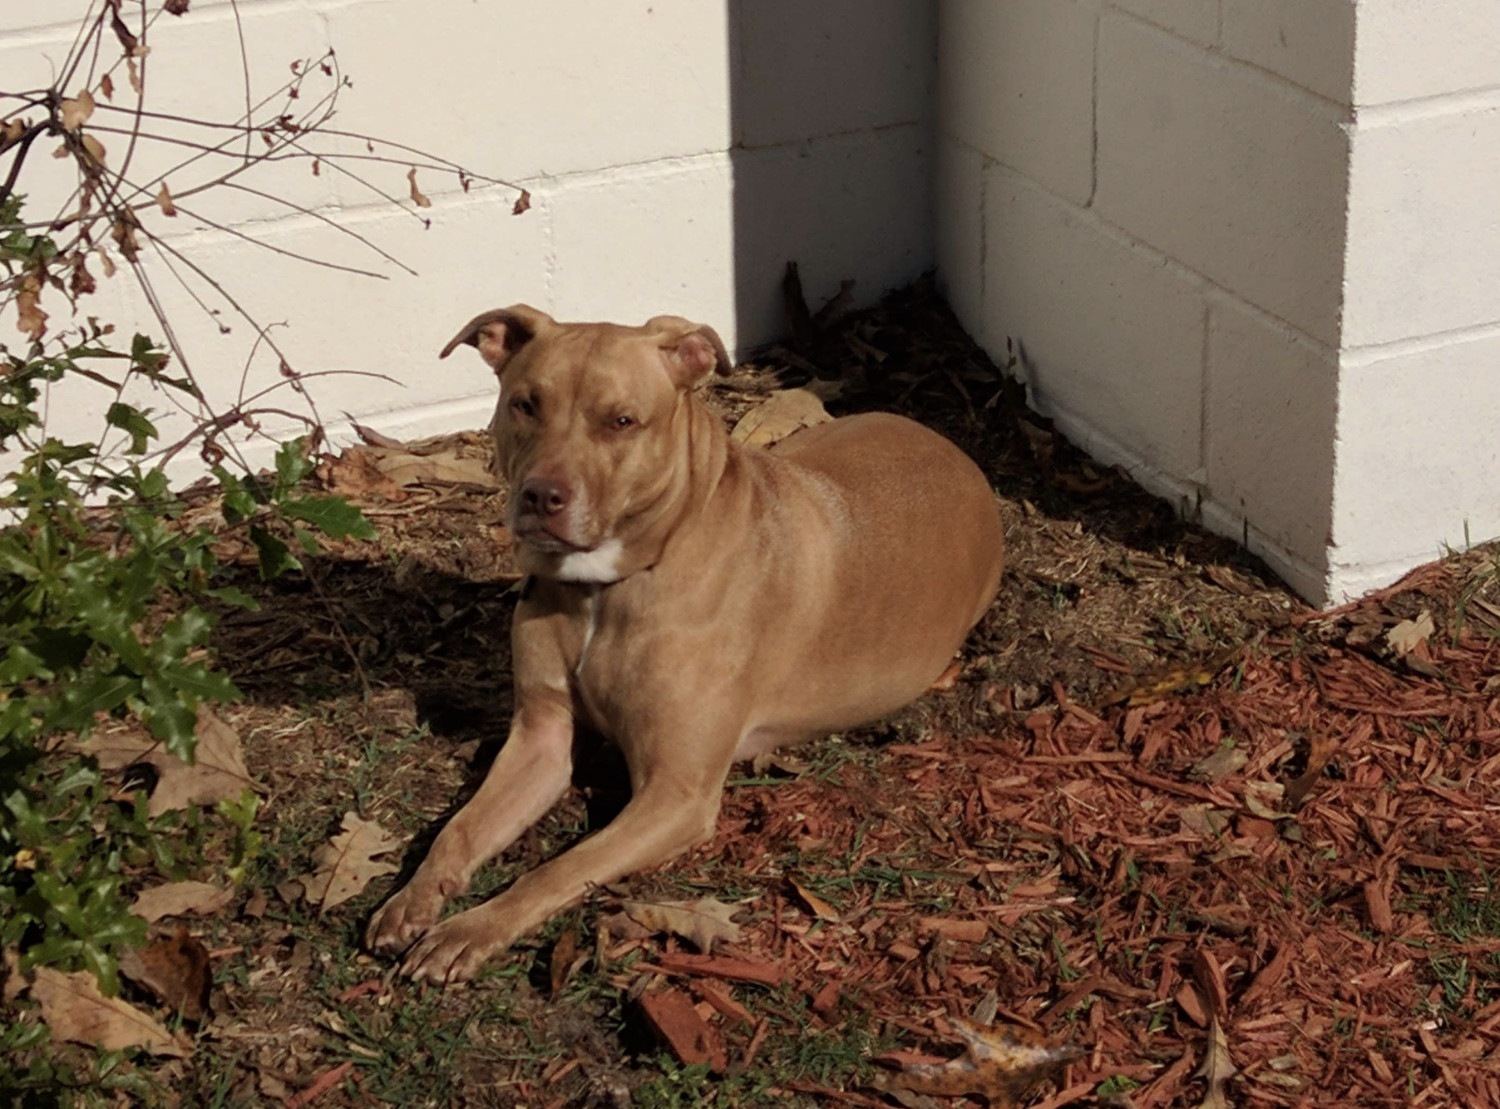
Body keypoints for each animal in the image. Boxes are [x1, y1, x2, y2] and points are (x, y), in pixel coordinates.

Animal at [364, 307, 1002, 984]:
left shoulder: (675, 794)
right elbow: (461, 828)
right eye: (525, 404)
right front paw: (413, 898)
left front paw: (473, 929)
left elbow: (560, 867)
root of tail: (955, 450)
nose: (539, 496)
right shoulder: (540, 738)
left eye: (622, 421)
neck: (611, 583)